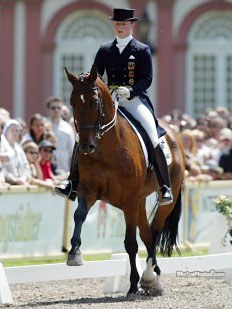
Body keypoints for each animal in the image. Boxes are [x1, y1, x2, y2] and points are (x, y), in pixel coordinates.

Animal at [63, 65, 185, 296]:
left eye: (95, 102)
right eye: (72, 102)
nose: (85, 146)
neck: (106, 149)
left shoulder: (129, 200)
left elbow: (130, 243)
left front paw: (133, 285)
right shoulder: (88, 191)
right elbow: (79, 215)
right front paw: (74, 253)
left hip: (164, 199)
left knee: (154, 232)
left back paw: (149, 277)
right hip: (140, 201)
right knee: (147, 234)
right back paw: (152, 279)